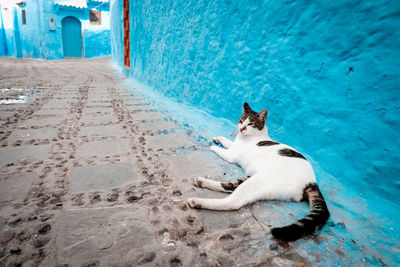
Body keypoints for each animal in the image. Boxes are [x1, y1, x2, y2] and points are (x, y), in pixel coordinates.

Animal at [186, 103, 330, 243]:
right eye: (241, 120)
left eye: (251, 124)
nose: (242, 128)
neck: (247, 137)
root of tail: (312, 182)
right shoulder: (234, 146)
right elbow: (228, 141)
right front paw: (218, 138)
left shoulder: (231, 155)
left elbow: (224, 149)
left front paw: (213, 146)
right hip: (251, 178)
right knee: (229, 186)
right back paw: (201, 182)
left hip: (256, 181)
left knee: (232, 202)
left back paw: (196, 201)